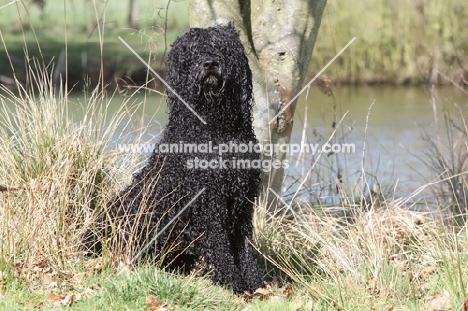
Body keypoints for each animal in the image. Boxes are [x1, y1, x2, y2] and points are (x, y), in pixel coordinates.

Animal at [83, 25, 264, 294]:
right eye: (193, 51)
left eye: (222, 47)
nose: (210, 63)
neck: (214, 128)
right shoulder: (209, 204)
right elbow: (221, 247)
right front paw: (233, 282)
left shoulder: (242, 201)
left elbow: (245, 248)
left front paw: (256, 284)